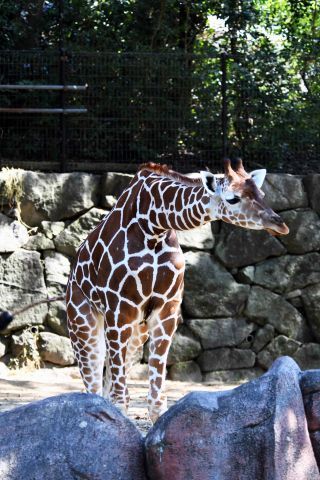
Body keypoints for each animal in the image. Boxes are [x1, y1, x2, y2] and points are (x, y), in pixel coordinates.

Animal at [66, 159, 288, 422]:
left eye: (261, 194)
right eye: (233, 198)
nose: (279, 224)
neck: (154, 225)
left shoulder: (167, 309)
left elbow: (156, 400)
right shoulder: (119, 308)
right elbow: (119, 400)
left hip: (137, 332)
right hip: (83, 323)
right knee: (93, 385)